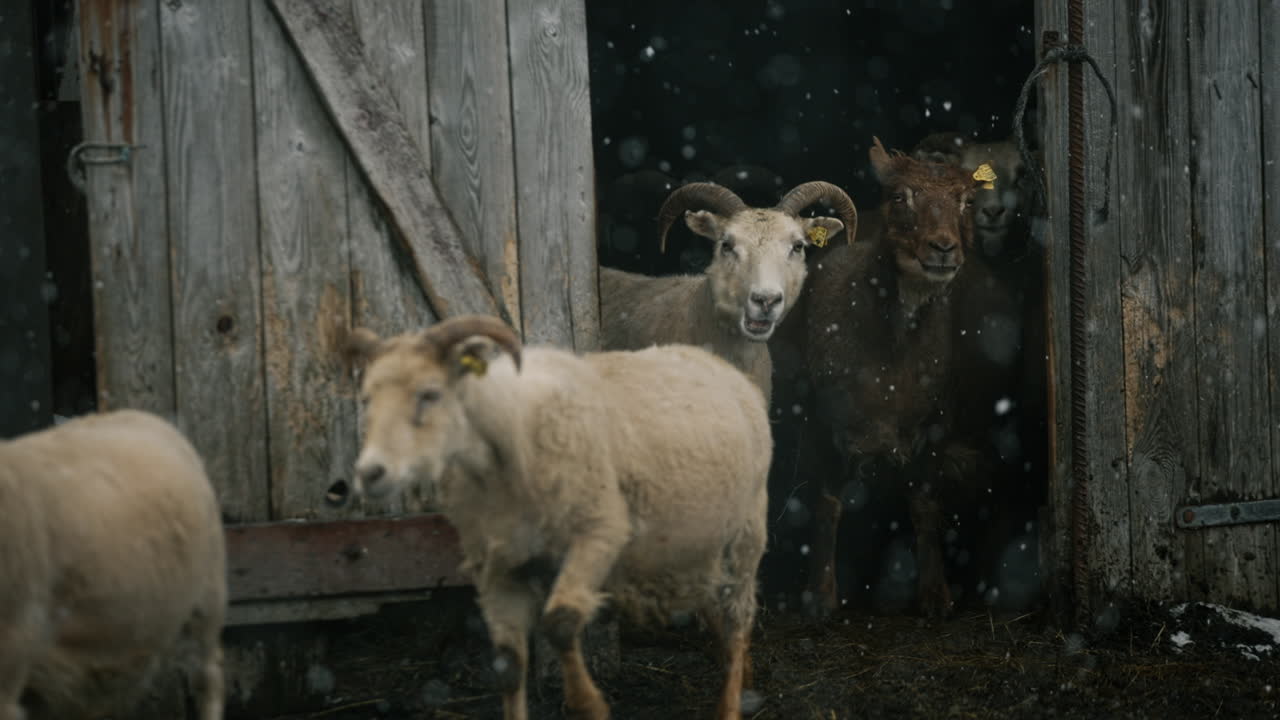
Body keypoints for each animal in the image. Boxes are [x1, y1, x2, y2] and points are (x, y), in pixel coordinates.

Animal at [335, 314, 773, 720]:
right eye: (366, 400)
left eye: (430, 393)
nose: (370, 473)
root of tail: (714, 360)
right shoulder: (497, 565)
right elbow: (508, 665)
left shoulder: (599, 532)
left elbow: (559, 622)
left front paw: (588, 703)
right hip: (694, 546)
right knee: (713, 603)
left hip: (748, 529)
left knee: (738, 615)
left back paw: (731, 703)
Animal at [800, 137, 989, 619]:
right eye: (901, 197)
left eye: (968, 201)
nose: (943, 248)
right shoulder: (820, 419)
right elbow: (826, 504)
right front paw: (821, 598)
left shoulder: (936, 420)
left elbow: (925, 505)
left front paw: (936, 595)